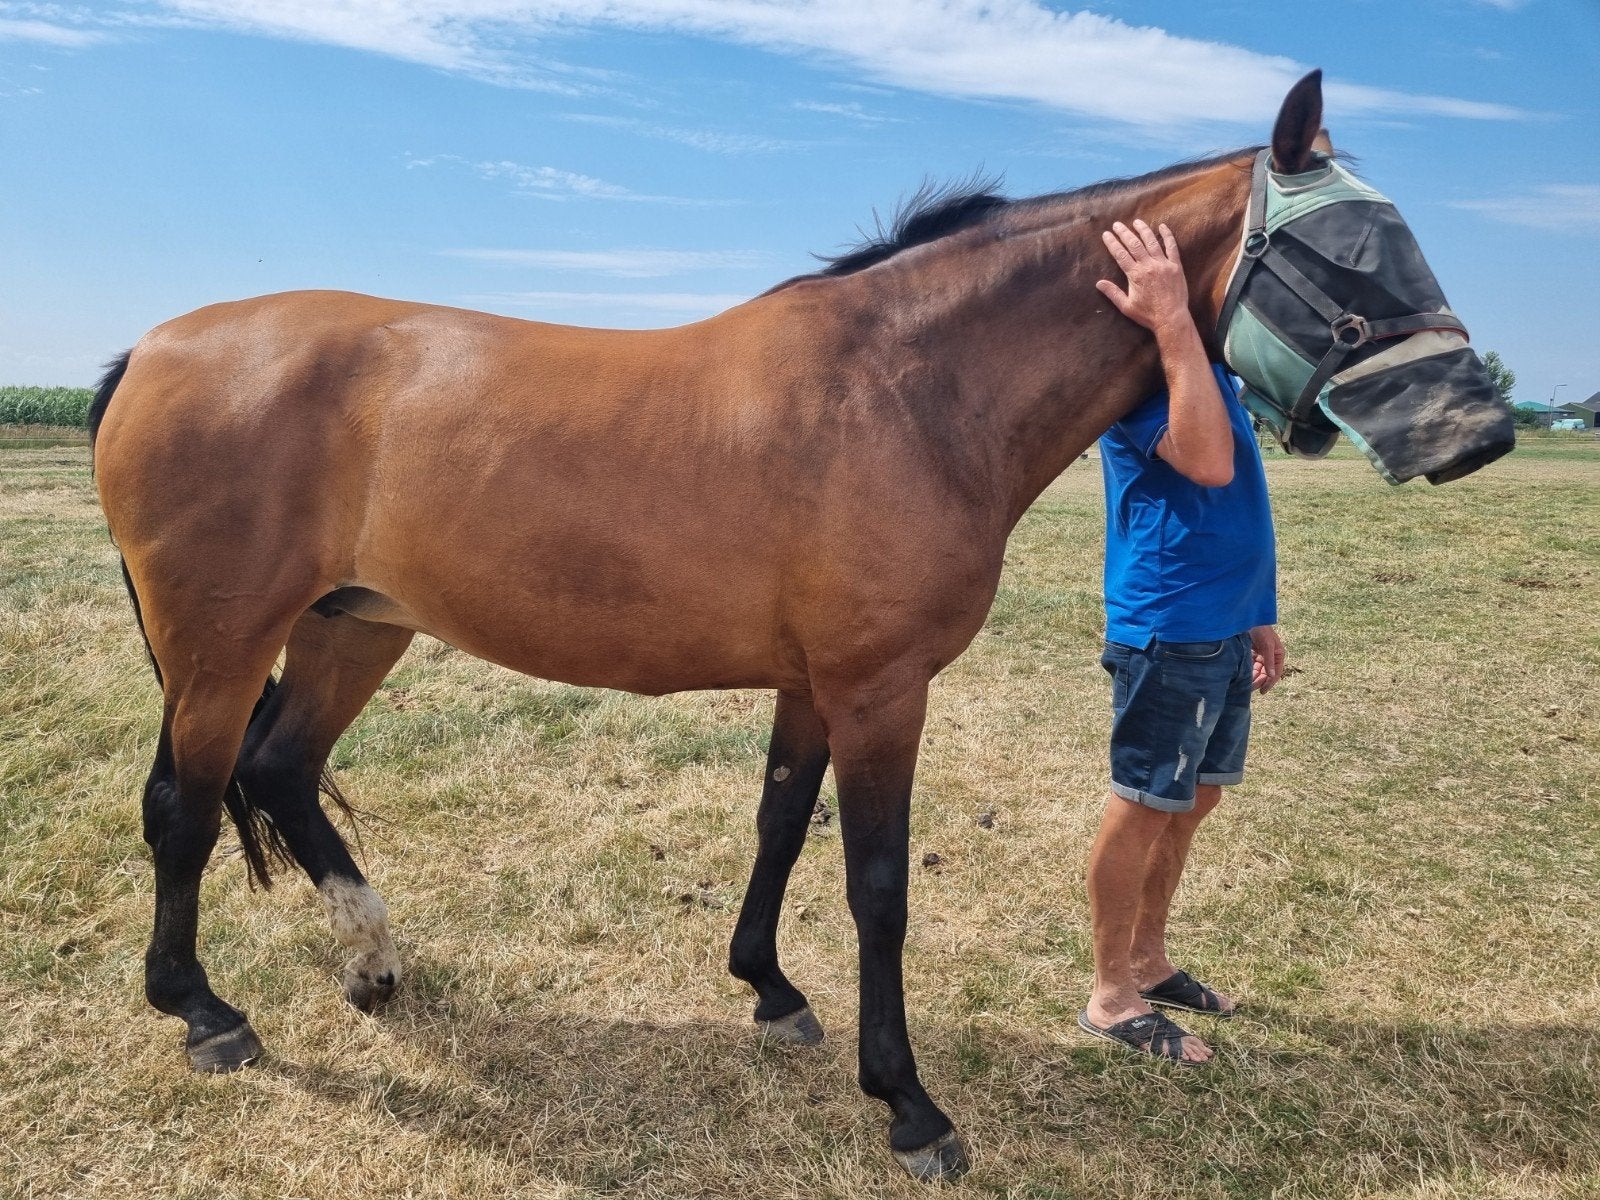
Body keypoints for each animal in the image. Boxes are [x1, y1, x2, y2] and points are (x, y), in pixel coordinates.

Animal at [89, 70, 1512, 1181]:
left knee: (280, 769)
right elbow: (876, 884)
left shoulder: (813, 684)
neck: (905, 392)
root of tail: (153, 347)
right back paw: (204, 1012)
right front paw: (911, 1107)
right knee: (184, 804)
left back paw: (373, 962)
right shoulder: (883, 687)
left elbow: (781, 821)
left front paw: (768, 991)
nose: (1481, 431)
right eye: (1348, 253)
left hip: (351, 627)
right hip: (223, 647)